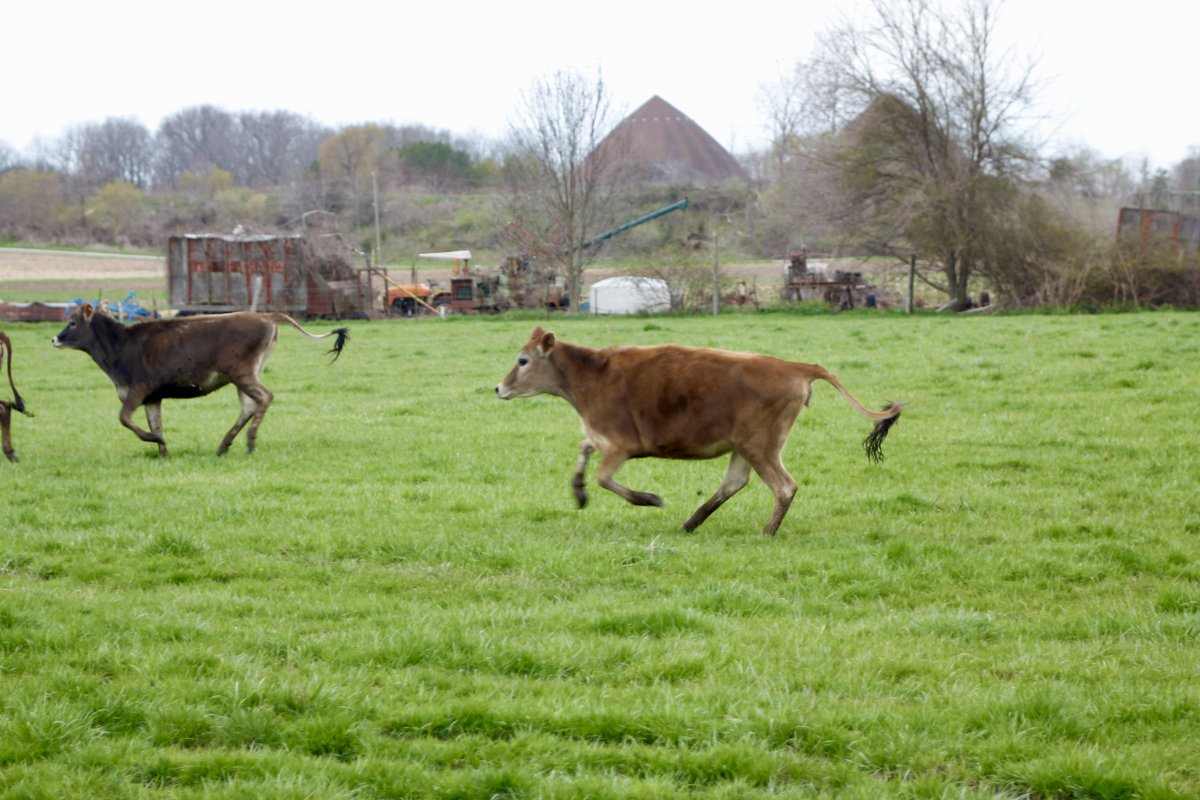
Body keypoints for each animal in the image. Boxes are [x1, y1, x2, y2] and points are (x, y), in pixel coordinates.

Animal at [52, 305, 349, 457]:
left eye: (74, 323)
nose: (55, 338)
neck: (121, 347)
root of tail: (264, 315)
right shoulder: (153, 397)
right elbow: (155, 423)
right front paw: (162, 448)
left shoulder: (138, 389)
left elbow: (124, 418)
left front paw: (152, 438)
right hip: (247, 373)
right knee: (249, 406)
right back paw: (224, 445)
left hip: (241, 372)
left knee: (264, 397)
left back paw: (249, 441)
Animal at [495, 326, 903, 535]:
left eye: (522, 360)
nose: (499, 388)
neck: (593, 376)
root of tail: (796, 367)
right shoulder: (601, 438)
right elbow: (583, 453)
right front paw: (578, 494)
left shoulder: (620, 445)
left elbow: (604, 477)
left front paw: (649, 499)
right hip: (745, 446)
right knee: (735, 483)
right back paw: (693, 521)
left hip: (761, 446)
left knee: (784, 486)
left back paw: (766, 531)